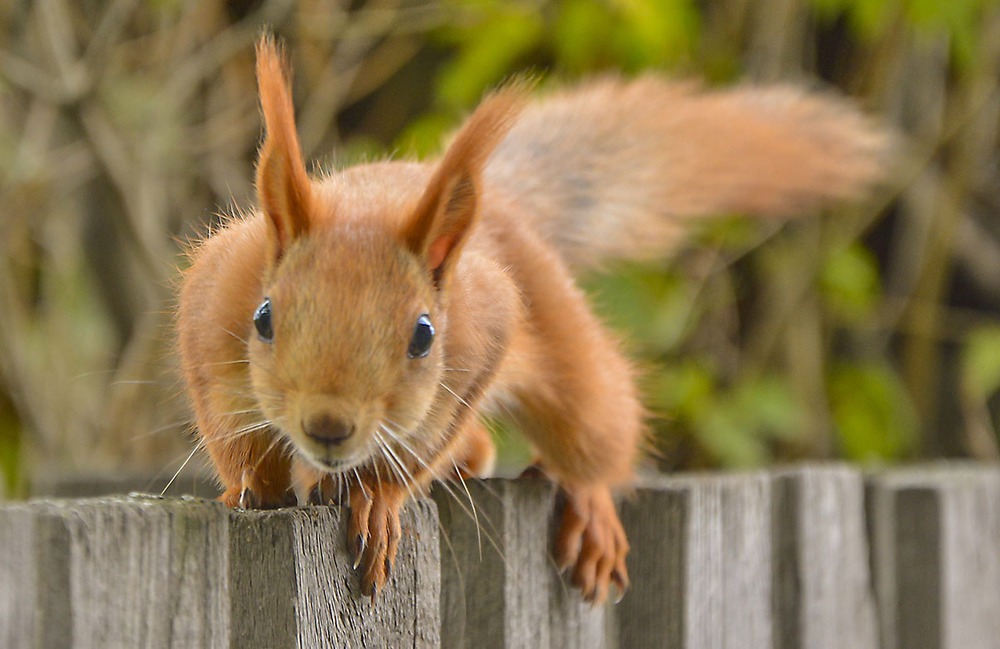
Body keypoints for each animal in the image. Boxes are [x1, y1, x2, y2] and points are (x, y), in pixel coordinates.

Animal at [178, 35, 892, 604]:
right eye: (264, 318)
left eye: (423, 336)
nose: (327, 427)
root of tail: (504, 207)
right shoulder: (210, 305)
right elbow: (229, 430)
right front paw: (254, 484)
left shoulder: (483, 338)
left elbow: (414, 453)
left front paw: (377, 499)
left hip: (569, 356)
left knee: (595, 432)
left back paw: (590, 506)